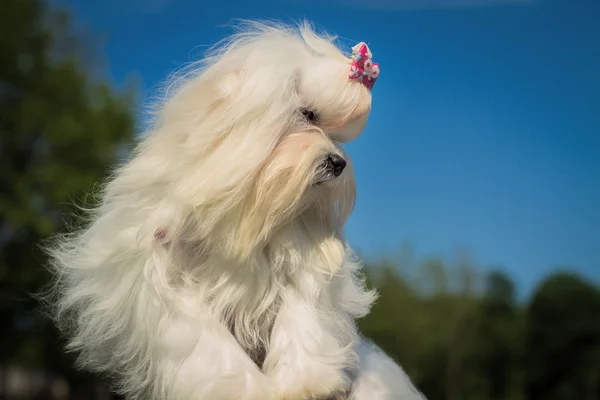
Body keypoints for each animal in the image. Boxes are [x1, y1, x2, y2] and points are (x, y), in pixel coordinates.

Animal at [44, 20, 424, 398]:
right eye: (308, 115)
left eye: (338, 135)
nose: (338, 163)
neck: (245, 208)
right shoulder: (164, 280)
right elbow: (209, 344)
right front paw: (243, 390)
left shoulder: (300, 267)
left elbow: (300, 321)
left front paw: (306, 385)